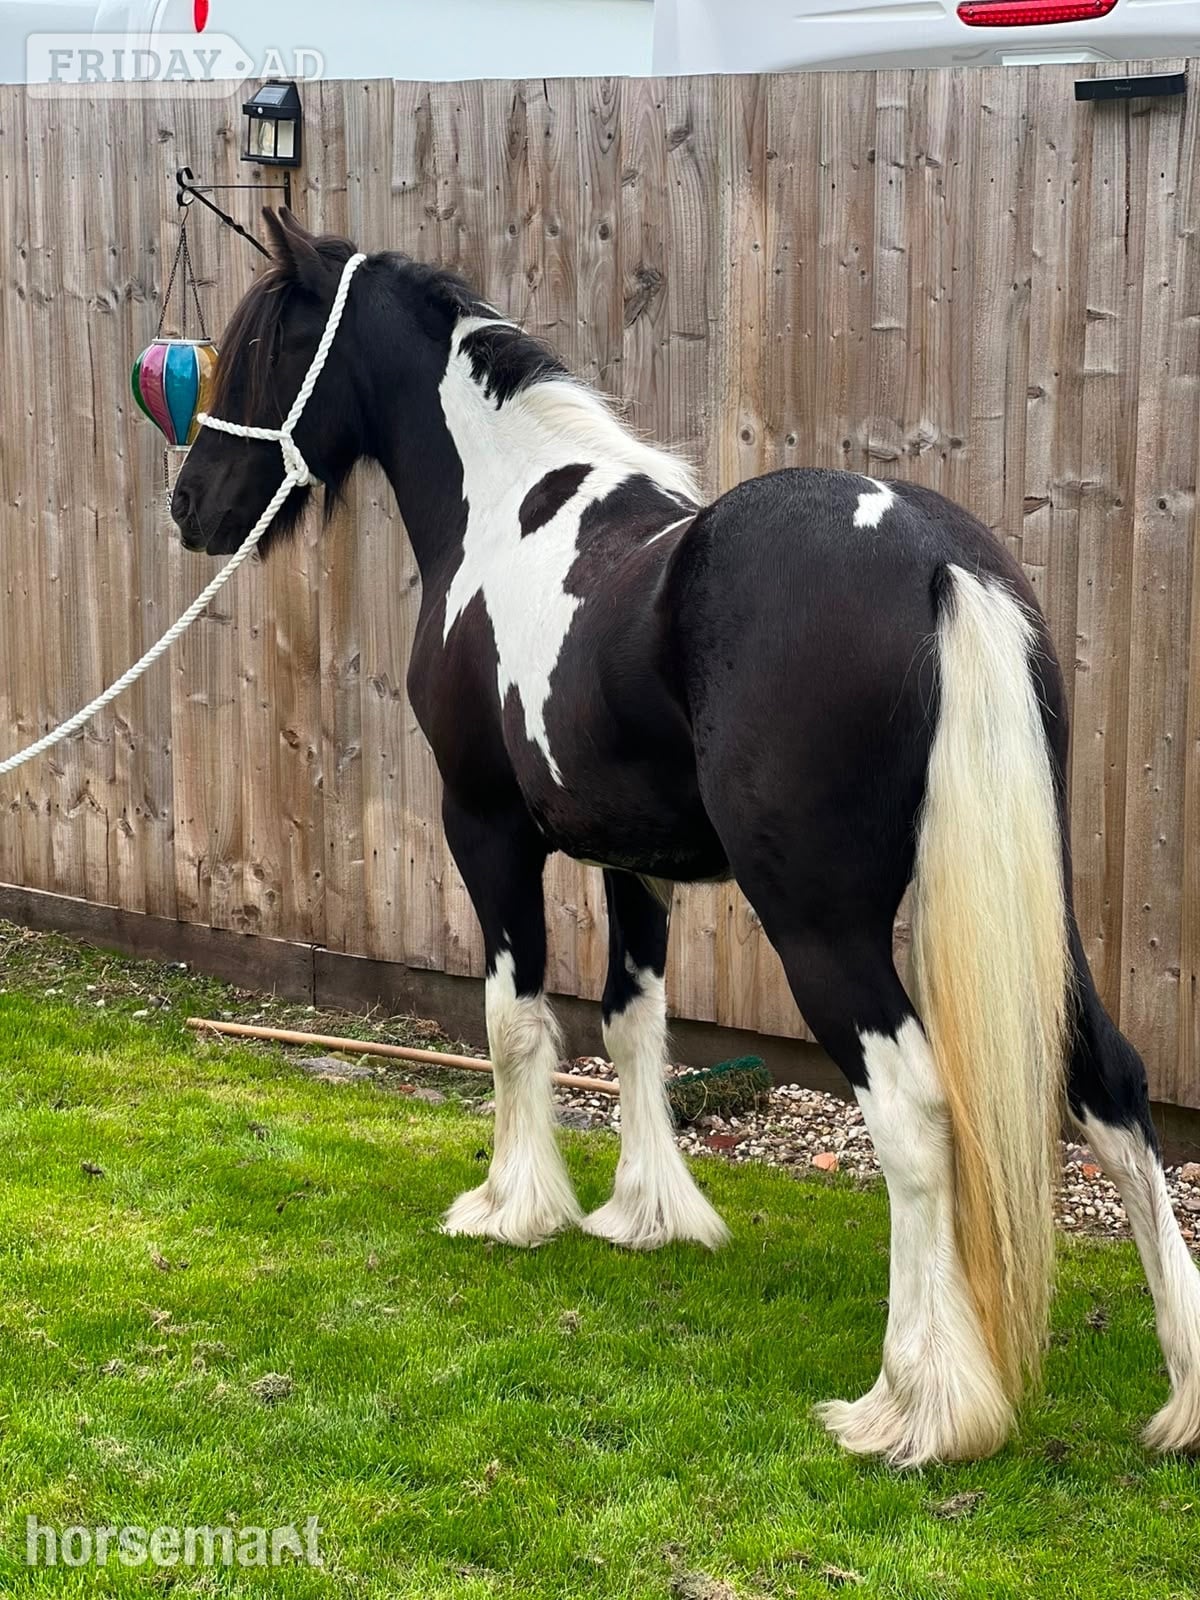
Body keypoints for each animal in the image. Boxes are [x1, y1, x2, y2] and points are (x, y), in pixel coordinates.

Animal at [171, 207, 1200, 1466]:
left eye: (265, 347)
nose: (191, 506)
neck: (508, 511)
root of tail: (938, 558)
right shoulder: (635, 860)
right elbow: (633, 1021)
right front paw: (647, 1212)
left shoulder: (486, 828)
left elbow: (513, 1021)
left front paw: (512, 1207)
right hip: (1036, 902)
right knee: (1112, 1080)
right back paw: (1183, 1394)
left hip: (820, 925)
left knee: (913, 1114)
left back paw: (914, 1404)